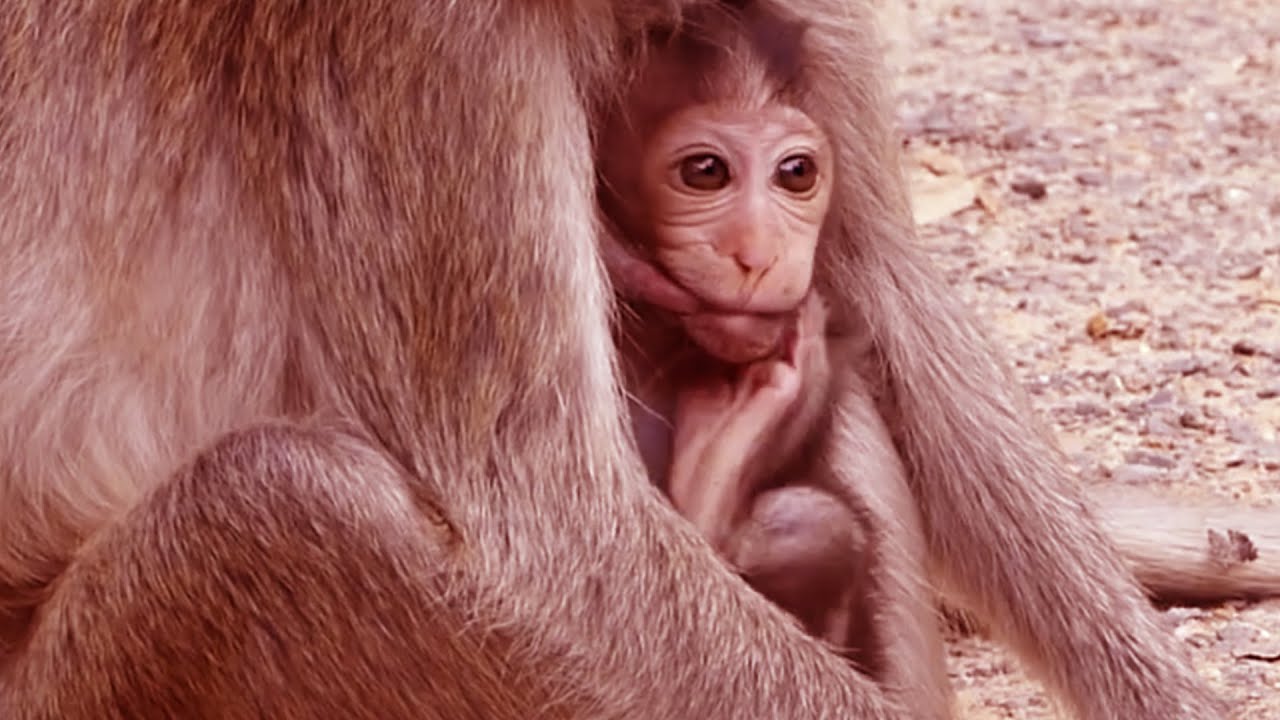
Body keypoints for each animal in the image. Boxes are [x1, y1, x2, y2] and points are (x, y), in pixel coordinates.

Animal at [0, 1, 1271, 719]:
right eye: (702, 173)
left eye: (786, 174)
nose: (750, 246)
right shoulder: (409, 34)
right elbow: (539, 526)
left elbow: (875, 297)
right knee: (285, 495)